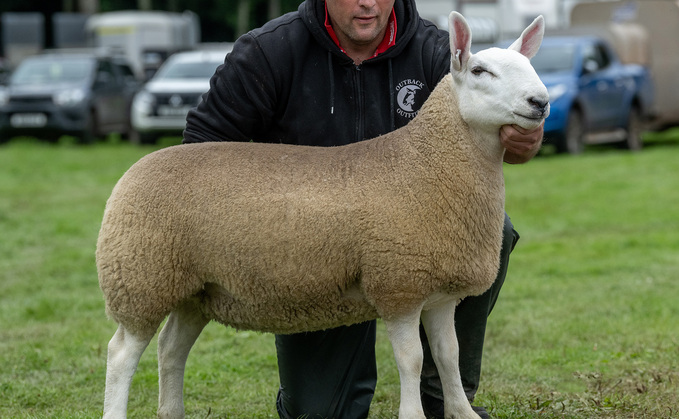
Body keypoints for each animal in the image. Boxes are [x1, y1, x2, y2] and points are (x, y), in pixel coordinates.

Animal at [98, 12, 548, 419]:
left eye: (530, 66)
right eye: (480, 70)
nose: (540, 102)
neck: (425, 161)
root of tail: (135, 171)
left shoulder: (439, 291)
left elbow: (448, 355)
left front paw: (461, 412)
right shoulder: (398, 284)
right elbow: (413, 359)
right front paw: (414, 414)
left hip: (194, 289)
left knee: (170, 349)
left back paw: (171, 411)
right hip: (140, 277)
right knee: (121, 353)